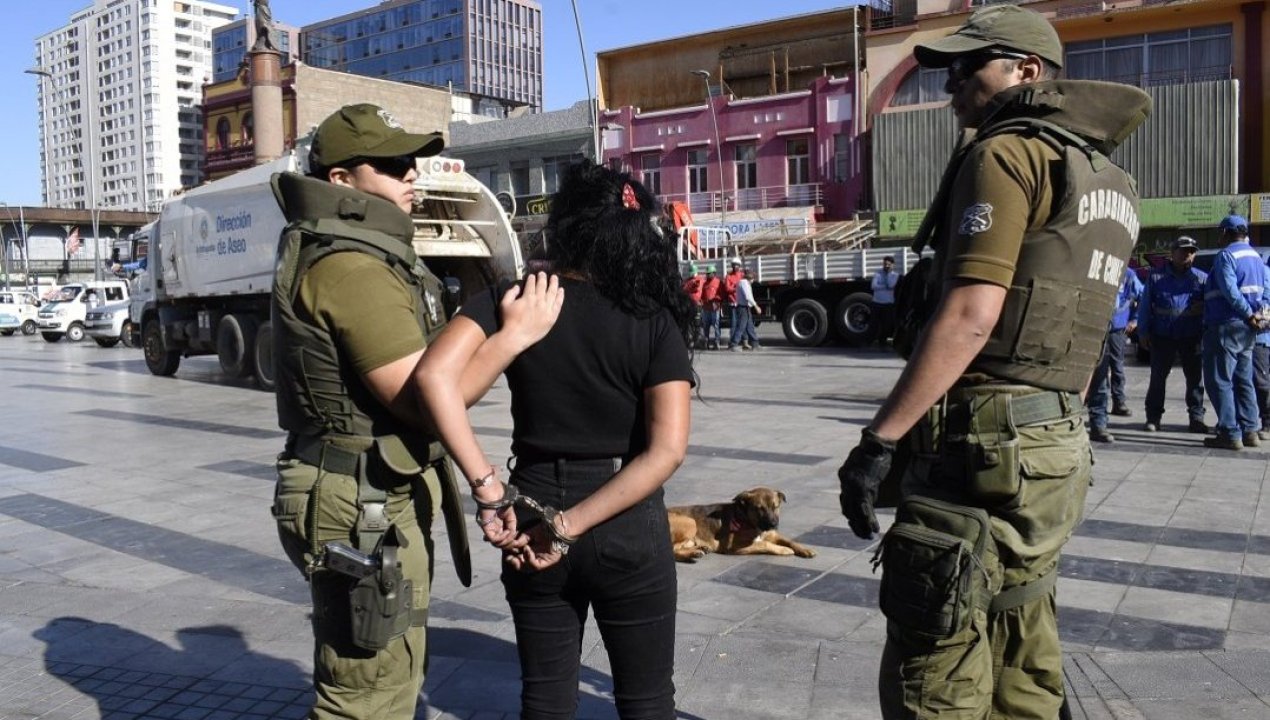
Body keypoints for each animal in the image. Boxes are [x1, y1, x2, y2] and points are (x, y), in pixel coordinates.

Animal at [670, 490, 817, 563]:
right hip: (690, 522)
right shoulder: (735, 546)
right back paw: (692, 553)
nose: (773, 524)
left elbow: (790, 541)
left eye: (775, 506)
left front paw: (804, 549)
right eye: (760, 509)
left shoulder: (773, 534)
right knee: (673, 550)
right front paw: (783, 549)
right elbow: (764, 544)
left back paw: (698, 550)